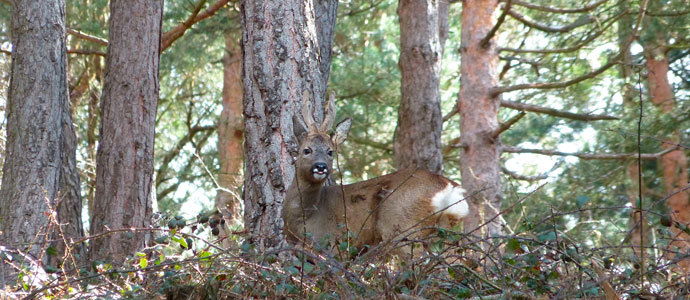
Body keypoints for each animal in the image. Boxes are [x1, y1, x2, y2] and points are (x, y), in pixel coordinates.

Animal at [280, 93, 468, 255]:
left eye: (330, 151)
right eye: (306, 150)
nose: (320, 167)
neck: (304, 218)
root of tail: (450, 187)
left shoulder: (332, 245)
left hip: (403, 228)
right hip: (446, 231)